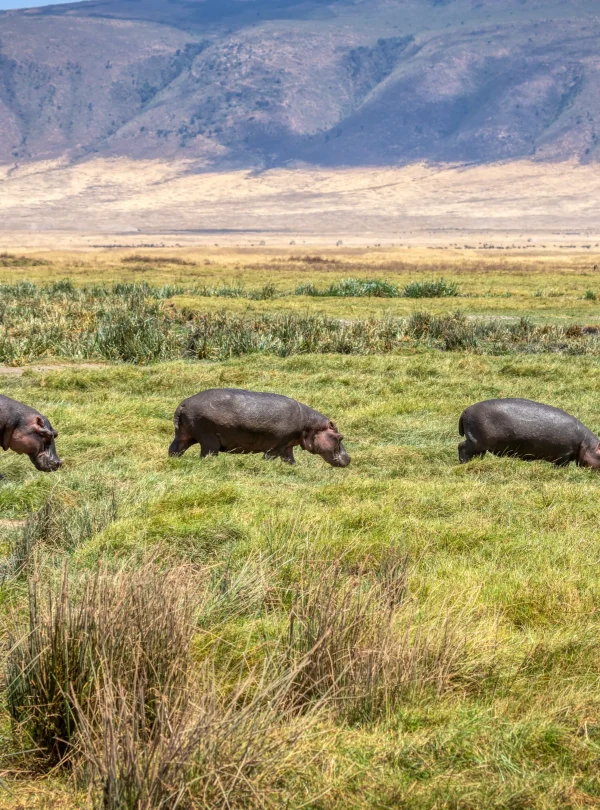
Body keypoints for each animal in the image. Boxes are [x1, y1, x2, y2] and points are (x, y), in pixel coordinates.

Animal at [169, 388, 351, 468]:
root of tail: (183, 404)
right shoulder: (276, 446)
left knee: (174, 449)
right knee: (206, 454)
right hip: (208, 440)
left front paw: (294, 468)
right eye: (340, 437)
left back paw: (174, 461)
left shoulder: (287, 445)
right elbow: (269, 458)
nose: (349, 458)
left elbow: (290, 460)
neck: (310, 425)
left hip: (184, 435)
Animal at [458, 398, 600, 468]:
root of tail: (465, 411)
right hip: (476, 441)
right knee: (462, 447)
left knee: (476, 453)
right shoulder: (564, 454)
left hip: (480, 443)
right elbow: (562, 466)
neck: (585, 443)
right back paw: (463, 463)